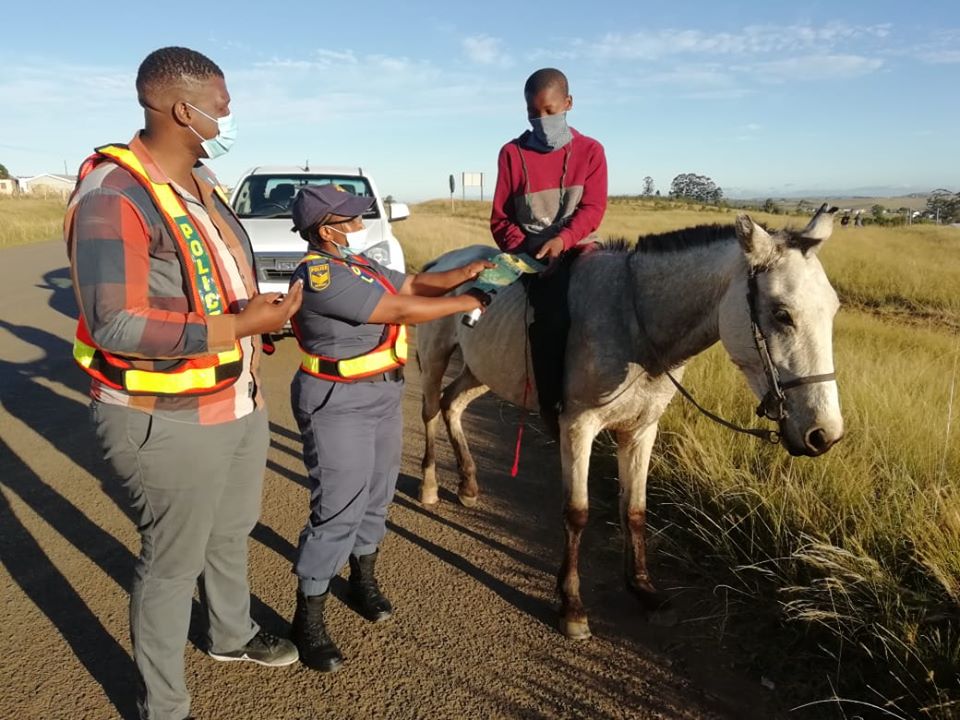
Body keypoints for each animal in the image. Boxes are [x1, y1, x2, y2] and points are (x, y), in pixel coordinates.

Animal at [416, 205, 844, 640]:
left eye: (833, 308)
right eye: (781, 313)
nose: (824, 433)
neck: (636, 326)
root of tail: (441, 263)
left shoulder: (641, 430)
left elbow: (635, 510)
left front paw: (643, 590)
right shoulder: (577, 427)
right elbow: (577, 512)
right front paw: (571, 605)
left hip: (481, 371)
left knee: (453, 405)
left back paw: (468, 484)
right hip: (435, 358)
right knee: (431, 410)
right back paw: (430, 484)